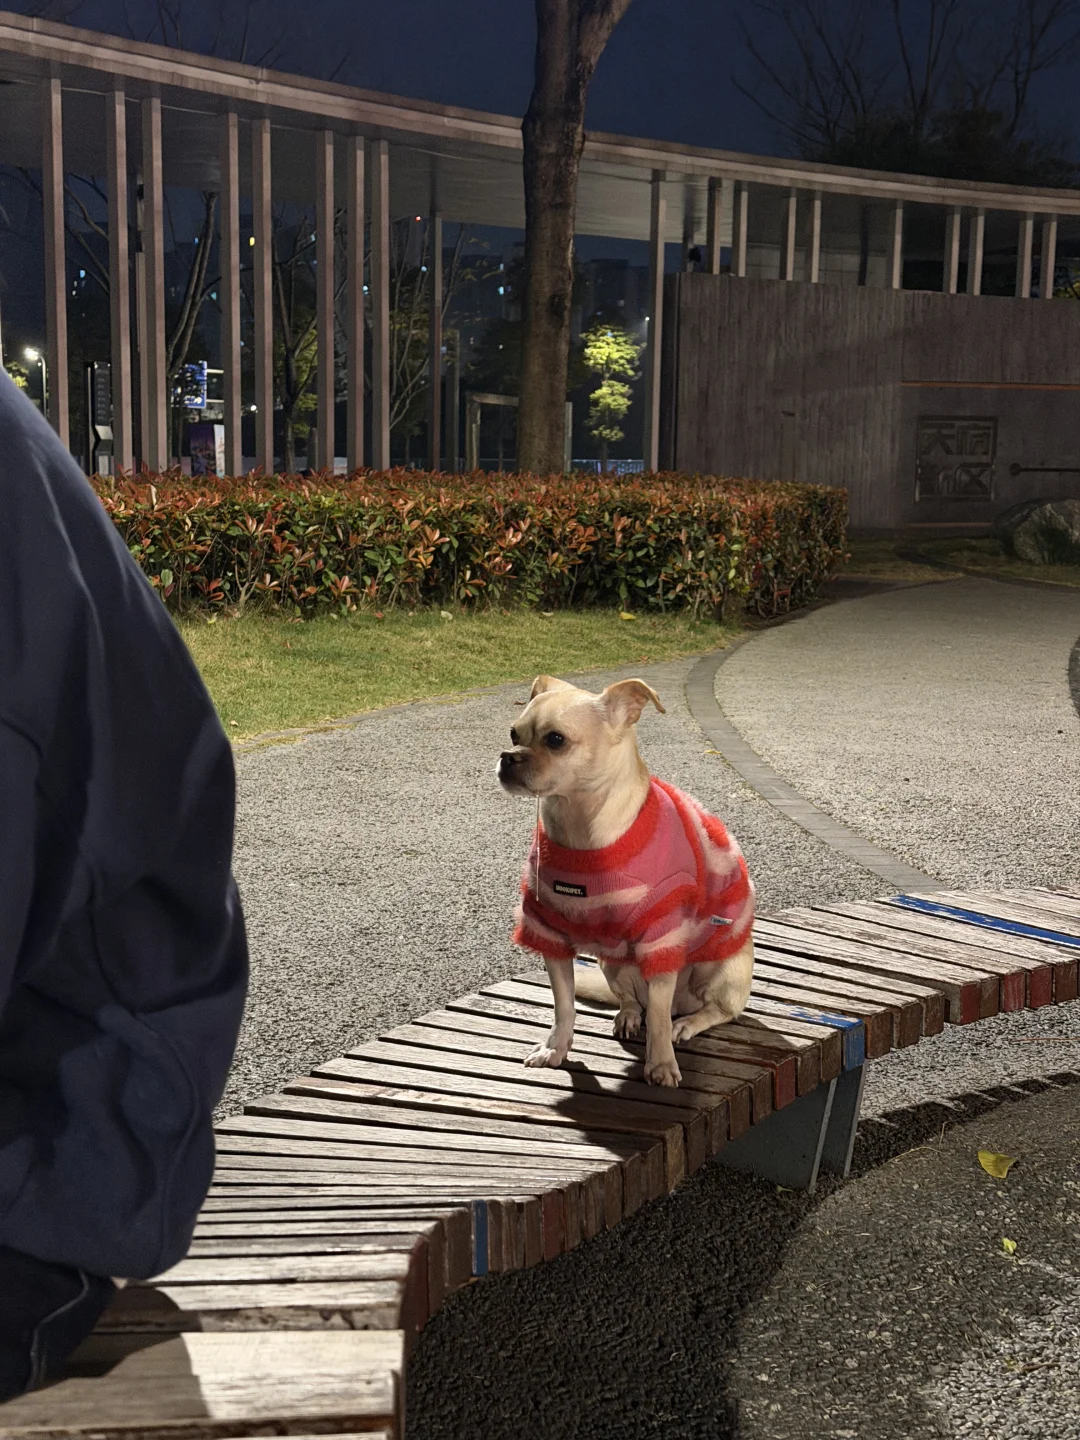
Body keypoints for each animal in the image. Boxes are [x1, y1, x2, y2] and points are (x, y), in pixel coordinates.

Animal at [497, 674, 754, 1087]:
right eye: (513, 733)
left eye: (556, 739)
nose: (508, 756)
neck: (582, 829)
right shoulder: (550, 936)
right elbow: (563, 1006)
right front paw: (556, 1048)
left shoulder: (662, 940)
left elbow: (661, 1024)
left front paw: (661, 1064)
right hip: (614, 965)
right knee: (635, 1001)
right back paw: (629, 1015)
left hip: (720, 970)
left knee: (712, 1011)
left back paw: (689, 1022)